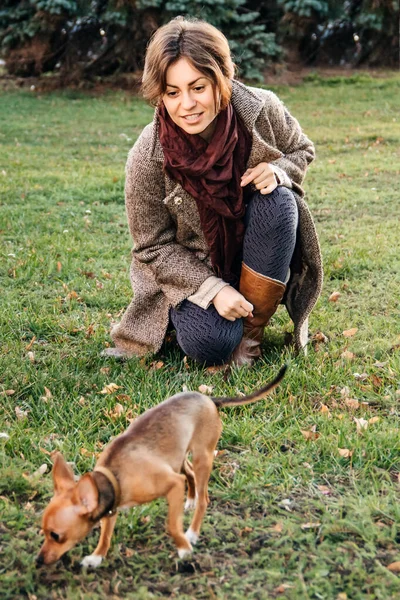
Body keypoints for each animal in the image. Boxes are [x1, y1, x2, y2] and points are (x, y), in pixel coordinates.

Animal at [37, 366, 286, 568]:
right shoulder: (111, 506)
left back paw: (192, 531)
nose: (38, 560)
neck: (115, 477)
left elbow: (171, 525)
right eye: (44, 533)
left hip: (202, 457)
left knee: (203, 497)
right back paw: (191, 499)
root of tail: (209, 399)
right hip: (179, 457)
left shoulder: (173, 485)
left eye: (56, 536)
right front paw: (97, 557)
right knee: (190, 474)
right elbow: (105, 535)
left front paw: (184, 548)